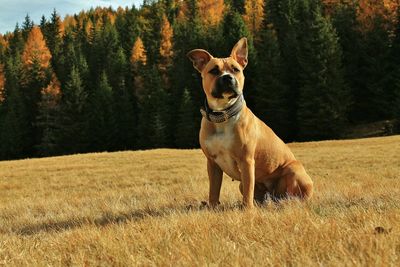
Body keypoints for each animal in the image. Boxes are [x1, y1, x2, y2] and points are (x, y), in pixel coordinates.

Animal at [186, 37, 314, 209]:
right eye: (214, 71)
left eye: (236, 69)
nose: (227, 77)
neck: (223, 115)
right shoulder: (212, 163)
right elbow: (214, 190)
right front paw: (212, 207)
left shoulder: (246, 161)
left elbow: (248, 190)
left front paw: (247, 210)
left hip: (294, 170)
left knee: (295, 195)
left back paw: (289, 202)